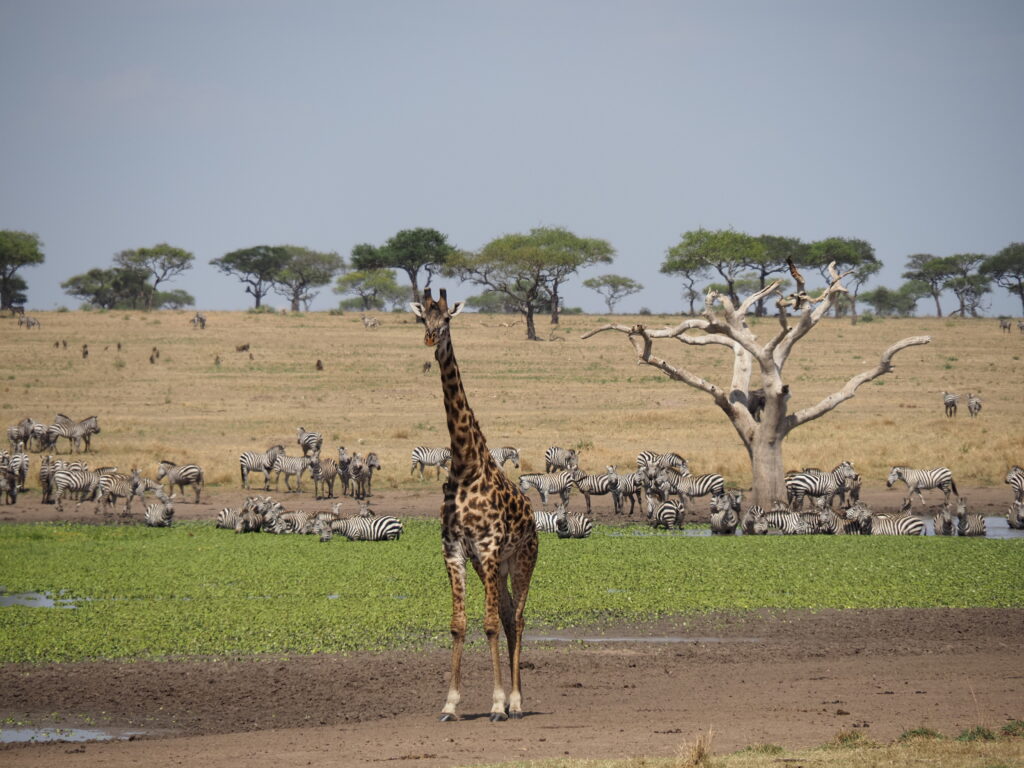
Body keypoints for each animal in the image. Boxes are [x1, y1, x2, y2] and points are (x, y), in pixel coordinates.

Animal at [409, 288, 540, 720]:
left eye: (448, 318)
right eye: (422, 317)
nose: (431, 339)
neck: (465, 464)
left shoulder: (488, 547)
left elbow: (489, 624)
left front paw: (498, 702)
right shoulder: (454, 550)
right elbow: (459, 623)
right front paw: (451, 703)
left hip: (521, 560)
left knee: (517, 618)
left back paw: (517, 702)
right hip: (494, 568)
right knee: (508, 615)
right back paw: (513, 698)